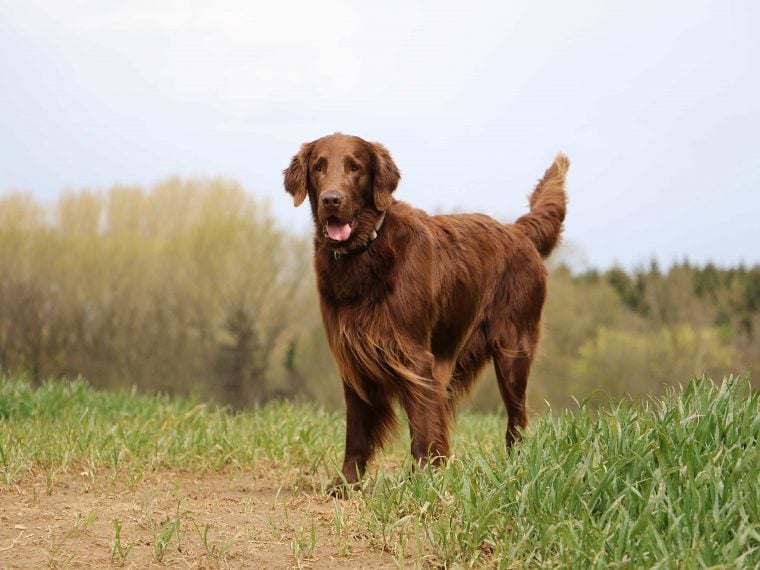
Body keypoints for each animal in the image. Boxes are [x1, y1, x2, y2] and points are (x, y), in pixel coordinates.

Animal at [282, 133, 568, 488]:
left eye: (355, 167)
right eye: (318, 167)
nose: (331, 200)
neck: (367, 251)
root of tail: (519, 231)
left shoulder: (413, 355)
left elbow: (421, 425)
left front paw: (424, 481)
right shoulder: (353, 357)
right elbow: (357, 431)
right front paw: (347, 483)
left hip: (513, 349)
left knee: (517, 417)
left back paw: (514, 468)